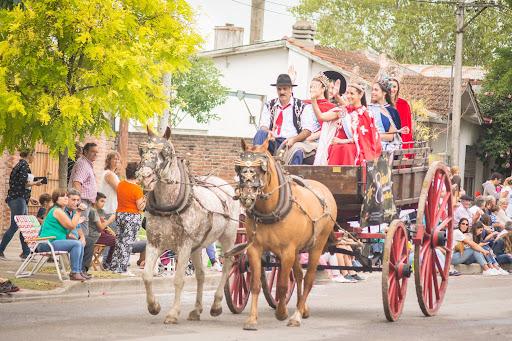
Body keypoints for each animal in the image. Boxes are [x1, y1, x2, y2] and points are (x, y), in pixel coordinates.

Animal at [136, 126, 240, 322]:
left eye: (165, 152)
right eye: (142, 150)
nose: (144, 177)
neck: (167, 206)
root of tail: (224, 185)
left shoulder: (184, 245)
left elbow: (178, 279)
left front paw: (173, 313)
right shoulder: (154, 242)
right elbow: (146, 276)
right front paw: (154, 306)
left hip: (228, 237)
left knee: (228, 265)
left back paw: (216, 305)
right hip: (198, 245)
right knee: (201, 275)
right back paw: (197, 310)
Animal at [235, 137, 336, 328]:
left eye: (261, 168)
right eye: (238, 167)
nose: (246, 196)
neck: (270, 210)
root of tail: (324, 189)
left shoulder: (287, 251)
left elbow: (282, 285)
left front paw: (281, 312)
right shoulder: (254, 249)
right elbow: (255, 284)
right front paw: (252, 319)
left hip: (317, 246)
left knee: (308, 278)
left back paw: (296, 315)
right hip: (298, 250)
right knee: (299, 276)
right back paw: (302, 309)